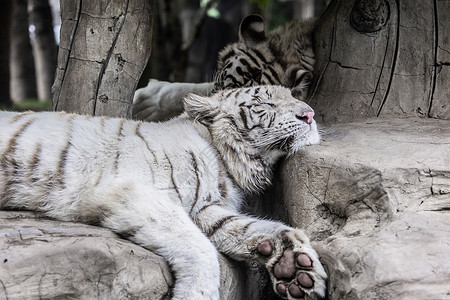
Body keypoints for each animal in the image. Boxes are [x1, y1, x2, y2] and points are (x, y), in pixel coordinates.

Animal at [0, 85, 326, 300]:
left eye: (293, 95)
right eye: (265, 104)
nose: (310, 114)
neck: (225, 161)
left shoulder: (207, 210)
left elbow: (253, 228)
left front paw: (296, 267)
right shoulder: (131, 190)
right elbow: (199, 248)